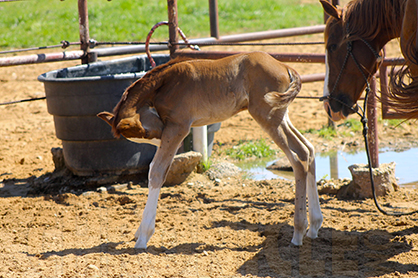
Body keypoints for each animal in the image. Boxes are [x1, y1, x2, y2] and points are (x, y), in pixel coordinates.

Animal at [98, 52, 324, 250]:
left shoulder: (178, 127)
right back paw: (313, 227)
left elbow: (156, 171)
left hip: (266, 116)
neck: (166, 83)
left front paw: (143, 237)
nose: (160, 136)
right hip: (280, 116)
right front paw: (138, 232)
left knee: (297, 160)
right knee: (307, 150)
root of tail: (286, 67)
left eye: (143, 132)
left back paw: (298, 233)